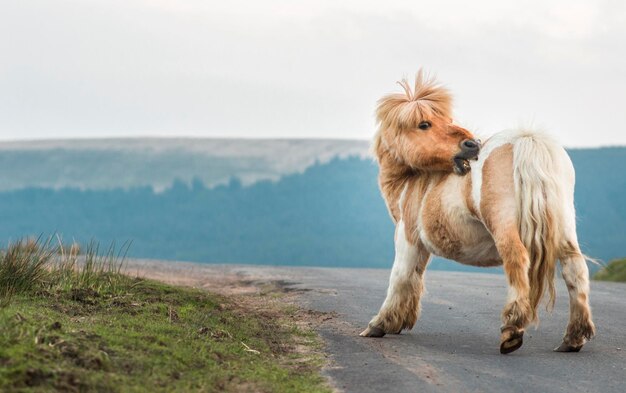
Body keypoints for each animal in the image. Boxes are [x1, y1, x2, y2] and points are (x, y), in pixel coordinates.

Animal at [358, 71, 592, 356]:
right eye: (424, 124)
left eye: (444, 120)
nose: (472, 144)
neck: (413, 180)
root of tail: (527, 139)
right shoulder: (421, 248)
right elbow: (415, 278)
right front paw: (400, 321)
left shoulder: (407, 238)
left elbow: (400, 277)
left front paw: (378, 324)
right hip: (565, 230)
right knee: (575, 270)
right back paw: (573, 338)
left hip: (504, 228)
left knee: (517, 261)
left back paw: (512, 330)